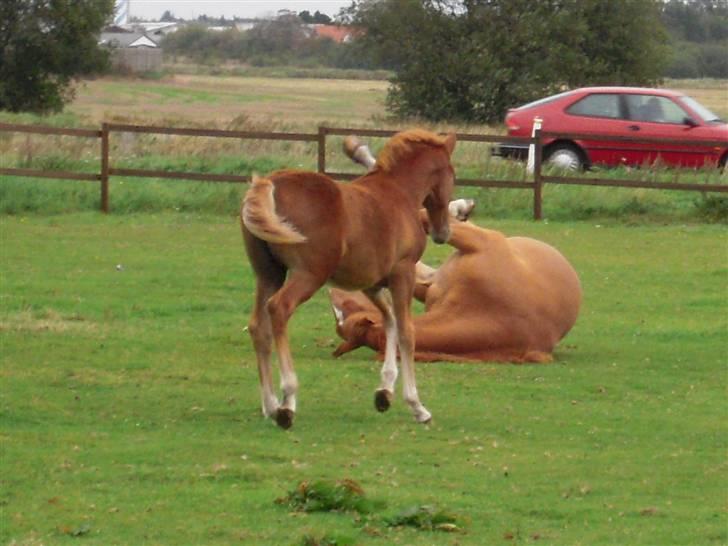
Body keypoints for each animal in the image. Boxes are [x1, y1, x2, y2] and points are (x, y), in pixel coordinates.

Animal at [240, 130, 456, 428]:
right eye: (452, 175)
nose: (442, 233)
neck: (399, 192)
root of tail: (270, 182)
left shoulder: (370, 283)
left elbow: (388, 320)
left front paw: (384, 393)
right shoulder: (403, 273)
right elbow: (406, 331)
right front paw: (417, 405)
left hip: (269, 273)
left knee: (258, 327)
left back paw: (271, 406)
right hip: (308, 275)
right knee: (279, 308)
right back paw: (288, 402)